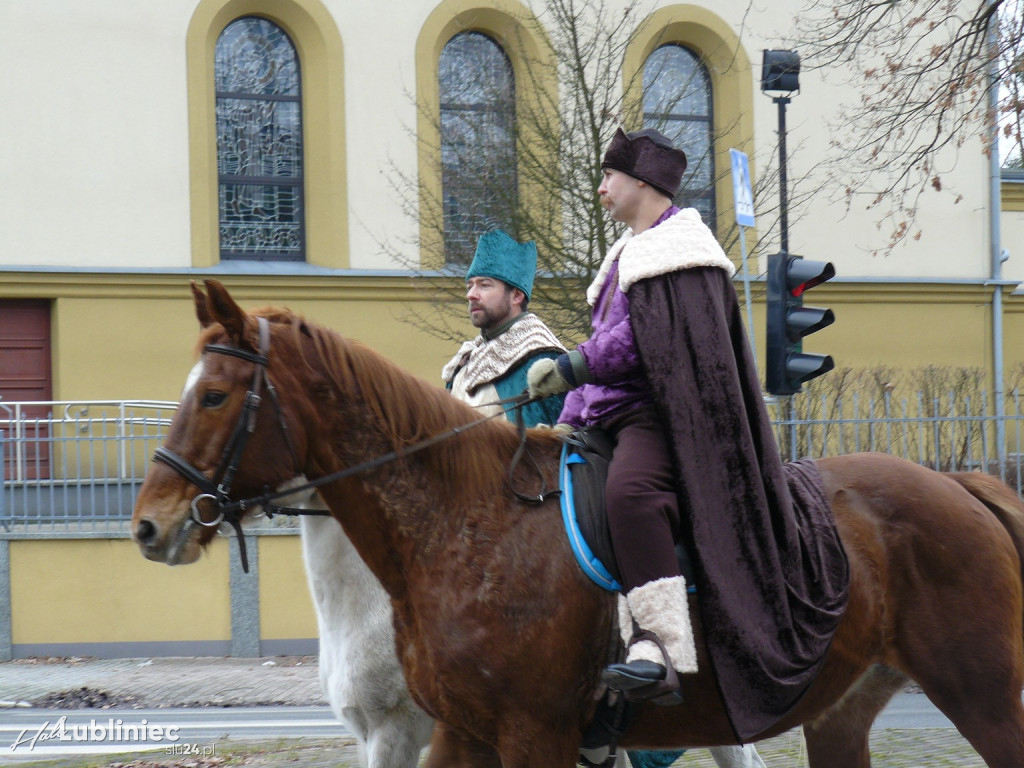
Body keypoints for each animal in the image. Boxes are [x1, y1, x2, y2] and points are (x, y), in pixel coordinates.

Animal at [134, 280, 1024, 765]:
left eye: (214, 395)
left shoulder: (526, 733)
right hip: (840, 711)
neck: (462, 528)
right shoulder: (459, 734)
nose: (149, 524)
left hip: (984, 693)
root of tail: (961, 483)